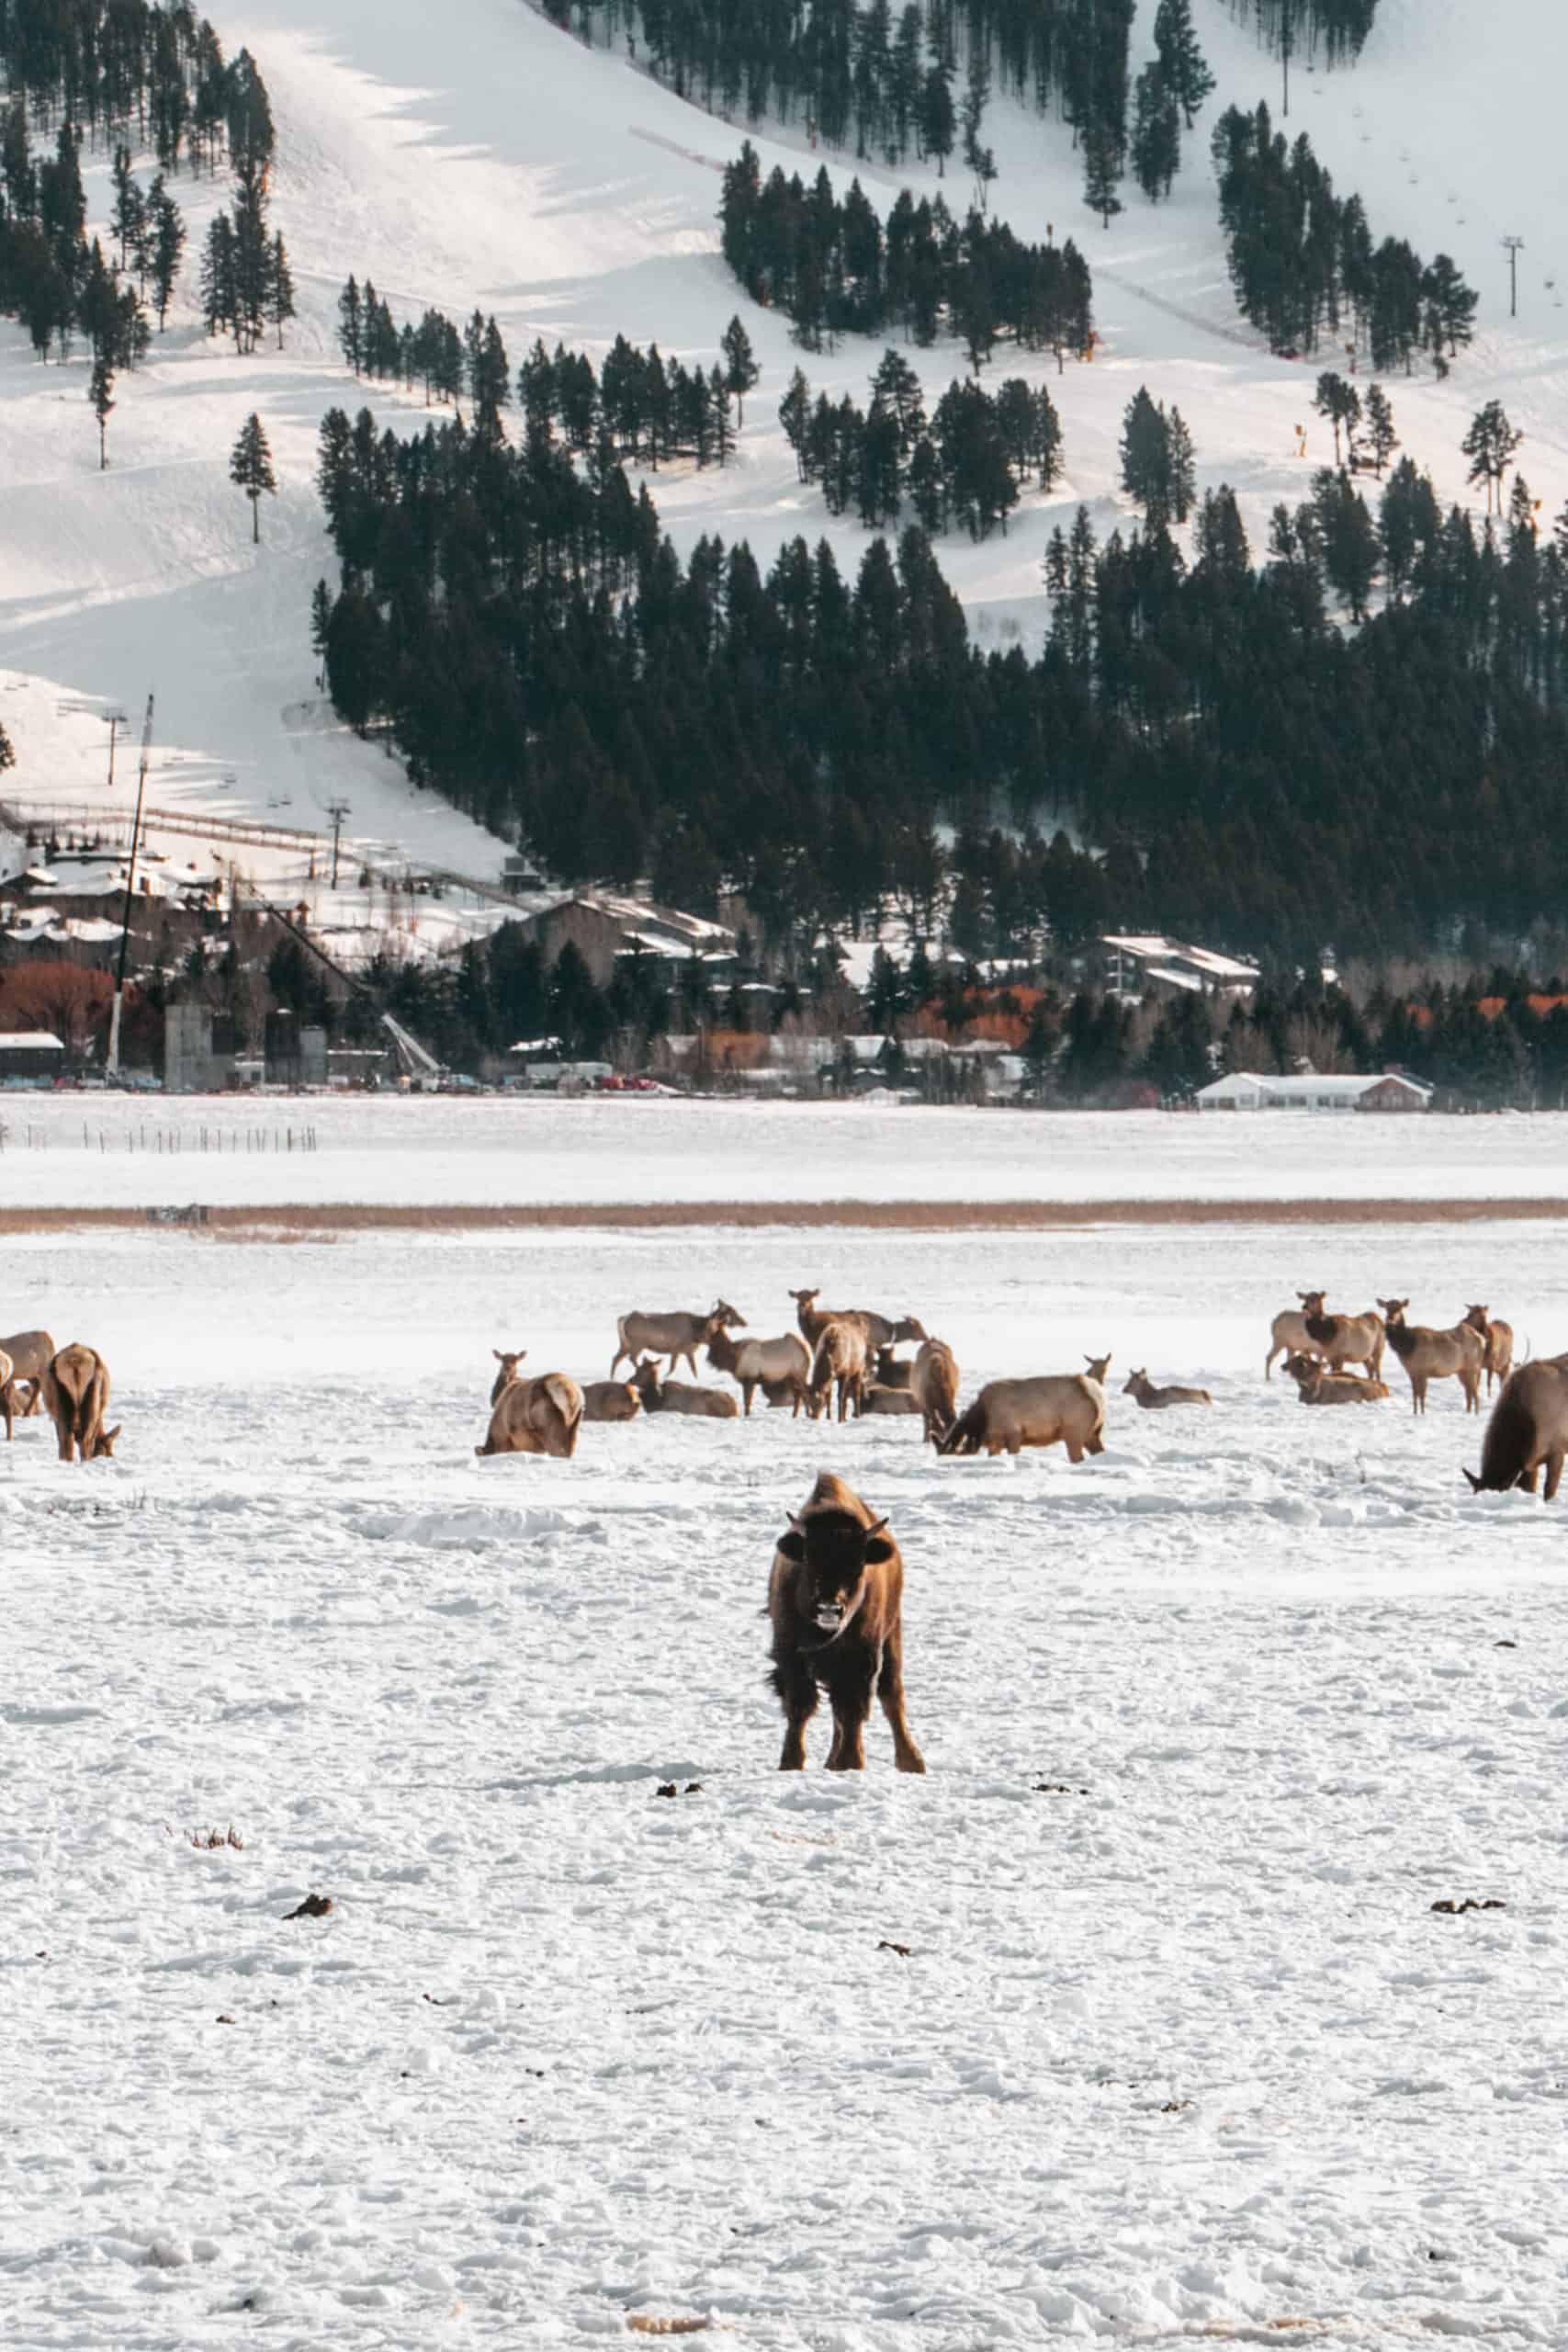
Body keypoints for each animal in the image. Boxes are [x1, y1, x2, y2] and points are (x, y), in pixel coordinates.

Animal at [40, 1345, 114, 1467]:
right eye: (105, 1450)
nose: (111, 1456)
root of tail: (75, 1361)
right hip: (90, 1400)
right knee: (85, 1441)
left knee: (67, 1440)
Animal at [611, 1298, 747, 1383]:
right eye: (732, 1312)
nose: (744, 1322)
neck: (697, 1332)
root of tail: (623, 1319)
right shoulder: (675, 1348)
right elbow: (673, 1368)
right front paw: (663, 1378)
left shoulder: (688, 1351)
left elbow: (694, 1369)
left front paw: (696, 1381)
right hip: (638, 1343)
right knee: (631, 1358)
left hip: (625, 1344)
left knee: (616, 1358)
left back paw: (612, 1378)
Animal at [771, 1458, 926, 1769]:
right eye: (808, 1559)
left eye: (857, 1564)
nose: (830, 1608)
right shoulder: (789, 1653)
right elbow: (799, 1707)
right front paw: (790, 1763)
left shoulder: (861, 1656)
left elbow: (852, 1710)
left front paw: (851, 1762)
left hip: (892, 1638)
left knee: (891, 1697)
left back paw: (912, 1762)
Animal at [940, 1354, 1109, 1458]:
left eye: (958, 1438)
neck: (984, 1418)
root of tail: (1097, 1398)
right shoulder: (995, 1443)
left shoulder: (1014, 1434)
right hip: (1094, 1432)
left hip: (1074, 1432)